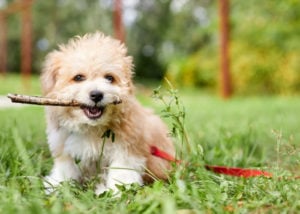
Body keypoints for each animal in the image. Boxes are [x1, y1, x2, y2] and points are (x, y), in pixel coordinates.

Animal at [41, 32, 175, 196]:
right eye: (78, 77)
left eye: (109, 78)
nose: (97, 95)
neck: (92, 128)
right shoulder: (65, 148)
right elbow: (65, 170)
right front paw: (56, 186)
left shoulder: (127, 149)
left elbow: (121, 172)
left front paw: (116, 192)